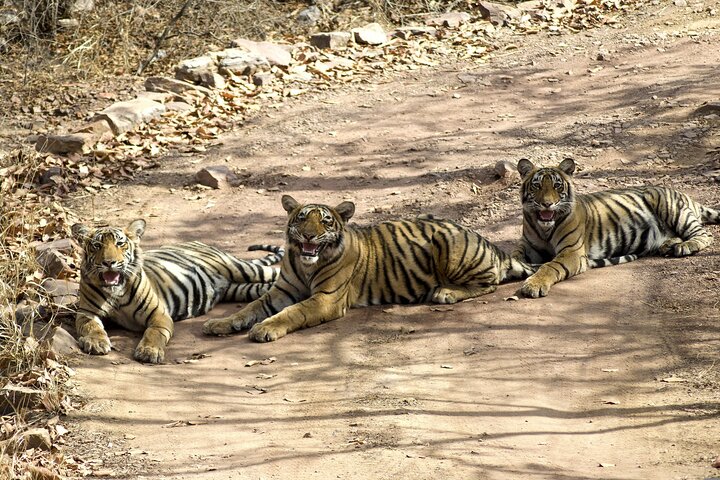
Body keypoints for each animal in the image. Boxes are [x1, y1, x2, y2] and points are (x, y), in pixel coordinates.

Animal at [71, 219, 284, 363]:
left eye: (120, 243)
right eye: (97, 245)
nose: (109, 262)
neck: (116, 291)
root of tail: (198, 242)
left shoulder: (158, 314)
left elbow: (154, 333)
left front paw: (149, 352)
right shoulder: (87, 313)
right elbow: (92, 327)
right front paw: (97, 343)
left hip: (241, 269)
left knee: (277, 273)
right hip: (241, 289)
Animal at [202, 195, 535, 342]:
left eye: (325, 222)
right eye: (301, 218)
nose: (308, 236)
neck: (306, 264)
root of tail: (489, 243)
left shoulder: (325, 299)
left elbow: (292, 312)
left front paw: (264, 329)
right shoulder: (281, 291)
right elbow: (251, 307)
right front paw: (221, 323)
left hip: (447, 241)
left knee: (489, 283)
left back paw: (446, 293)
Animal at [513, 157, 720, 298]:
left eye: (557, 186)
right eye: (537, 186)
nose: (547, 204)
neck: (544, 228)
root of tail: (686, 196)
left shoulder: (572, 252)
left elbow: (550, 266)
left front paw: (534, 284)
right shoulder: (528, 246)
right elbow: (516, 255)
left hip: (671, 207)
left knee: (704, 235)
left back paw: (684, 246)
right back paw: (668, 245)